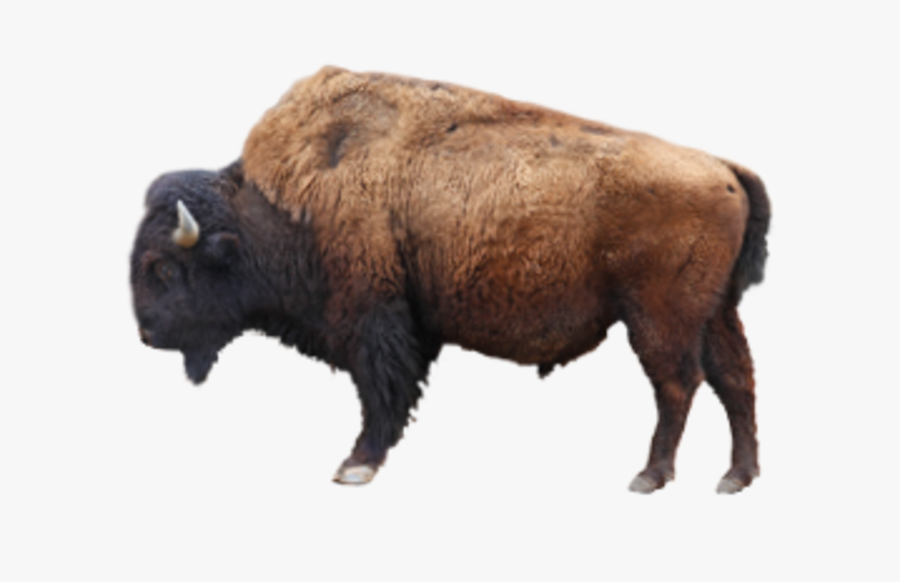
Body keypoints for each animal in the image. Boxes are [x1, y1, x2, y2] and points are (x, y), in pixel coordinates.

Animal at [131, 67, 770, 493]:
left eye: (163, 267)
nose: (146, 335)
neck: (279, 204)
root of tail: (723, 168)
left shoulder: (373, 317)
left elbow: (380, 390)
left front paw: (356, 465)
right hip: (716, 312)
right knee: (734, 379)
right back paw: (737, 476)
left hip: (657, 317)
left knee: (678, 384)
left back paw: (650, 475)